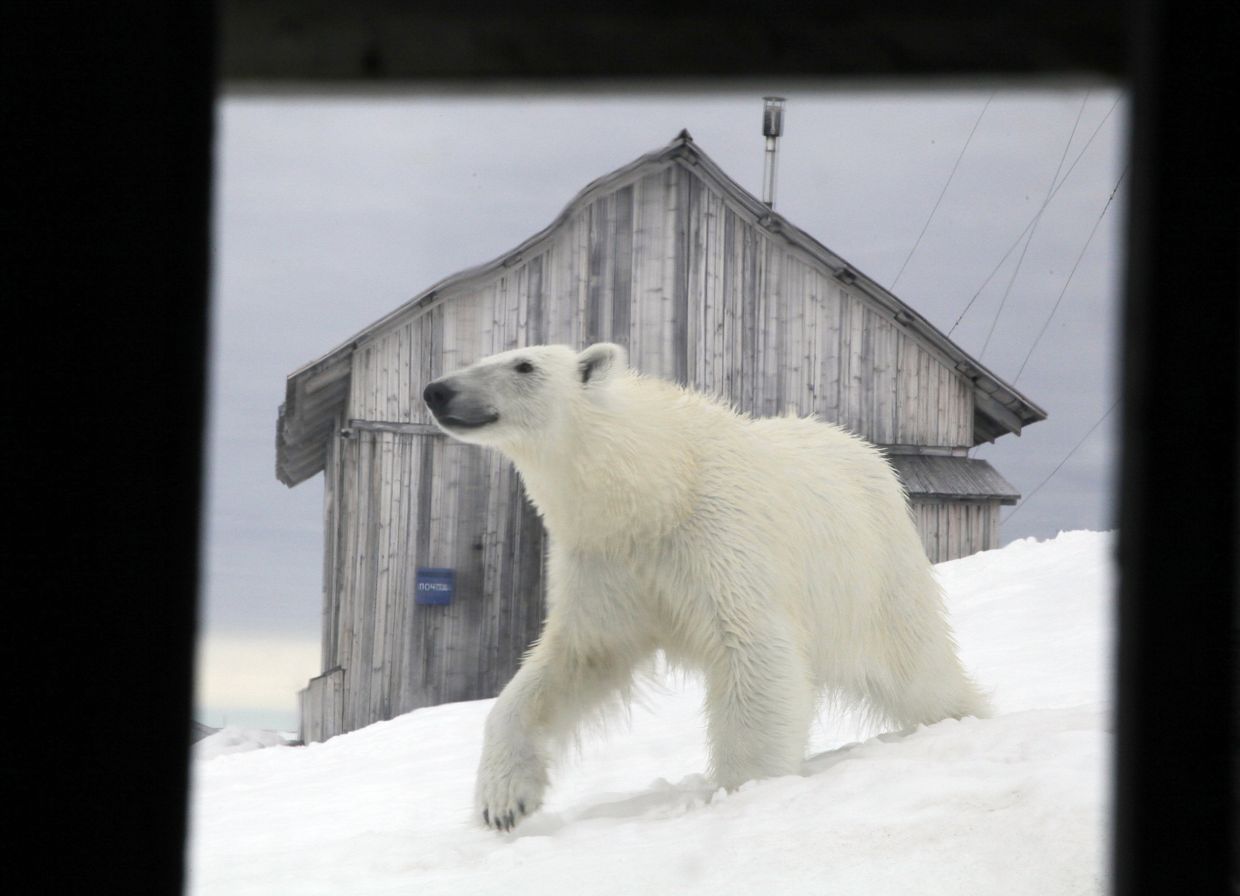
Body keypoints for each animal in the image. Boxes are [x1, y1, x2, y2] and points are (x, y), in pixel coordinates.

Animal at [422, 342, 990, 832]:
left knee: (919, 668)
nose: (436, 390)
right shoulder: (605, 564)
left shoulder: (719, 541)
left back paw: (965, 717)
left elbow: (753, 652)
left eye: (524, 365)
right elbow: (574, 659)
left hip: (873, 574)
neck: (656, 490)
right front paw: (503, 801)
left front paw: (745, 793)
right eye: (482, 354)